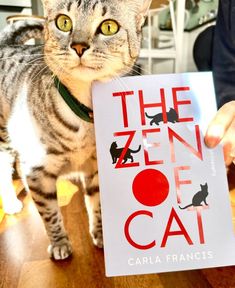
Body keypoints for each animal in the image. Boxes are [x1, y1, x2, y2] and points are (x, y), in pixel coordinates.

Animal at [0, 0, 151, 260]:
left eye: (109, 27)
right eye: (64, 22)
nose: (79, 46)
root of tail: (6, 44)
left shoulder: (97, 170)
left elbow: (97, 207)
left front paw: (101, 236)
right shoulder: (37, 172)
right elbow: (50, 214)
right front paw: (60, 243)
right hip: (4, 139)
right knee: (4, 171)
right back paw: (11, 203)